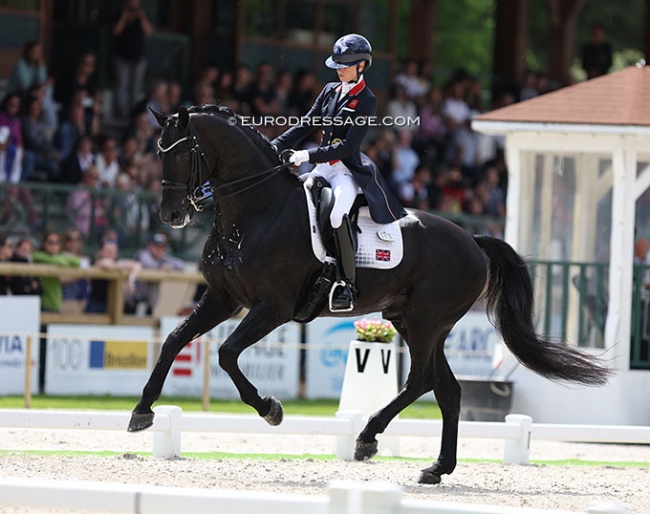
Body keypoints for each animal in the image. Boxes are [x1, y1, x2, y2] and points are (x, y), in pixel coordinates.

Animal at [129, 105, 612, 484]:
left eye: (184, 153)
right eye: (157, 152)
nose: (171, 215)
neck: (254, 212)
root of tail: (473, 240)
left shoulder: (273, 308)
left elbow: (227, 354)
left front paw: (270, 409)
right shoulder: (222, 298)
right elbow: (172, 341)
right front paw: (142, 411)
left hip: (426, 321)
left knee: (421, 380)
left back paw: (367, 438)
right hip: (412, 320)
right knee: (447, 389)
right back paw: (435, 468)